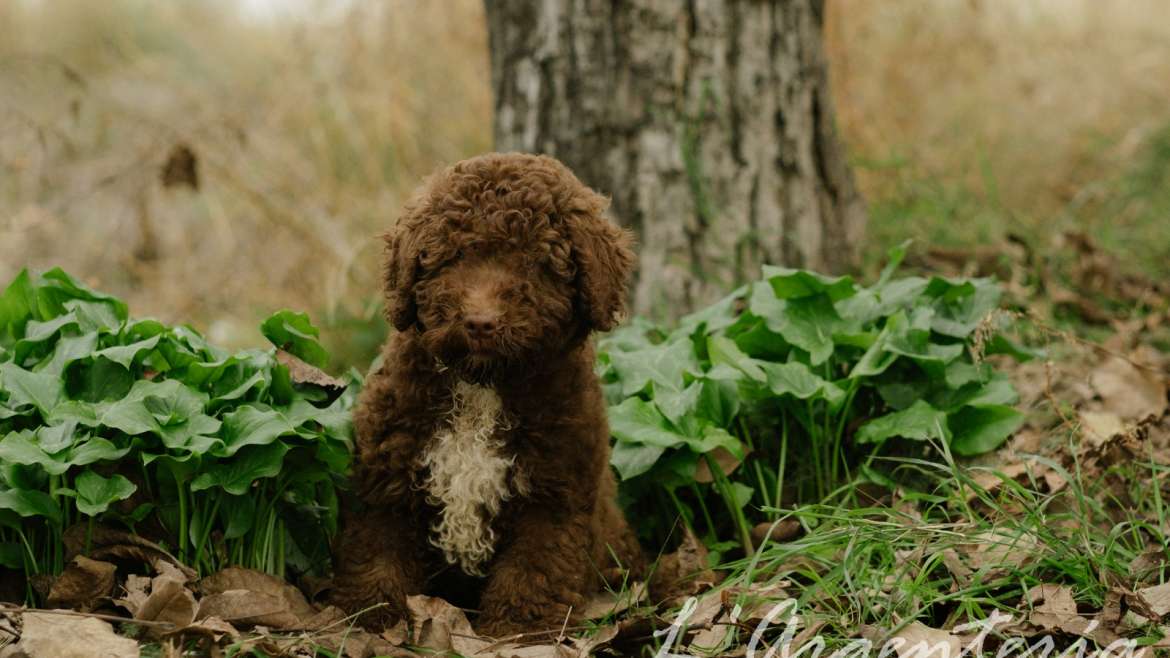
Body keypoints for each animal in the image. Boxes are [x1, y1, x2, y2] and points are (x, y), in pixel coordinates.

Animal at [332, 151, 650, 632]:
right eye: (454, 256)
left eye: (535, 262)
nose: (481, 322)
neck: (482, 385)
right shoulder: (387, 480)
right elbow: (378, 553)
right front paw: (372, 618)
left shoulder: (554, 495)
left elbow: (533, 571)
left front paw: (517, 631)